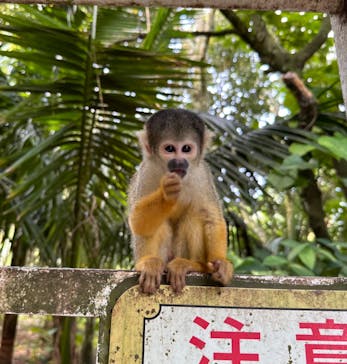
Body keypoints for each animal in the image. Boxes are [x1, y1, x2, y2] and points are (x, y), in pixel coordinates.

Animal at [128, 108, 234, 292]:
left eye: (186, 148)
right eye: (170, 149)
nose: (179, 162)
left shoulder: (202, 174)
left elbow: (212, 218)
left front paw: (222, 264)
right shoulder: (146, 170)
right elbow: (137, 222)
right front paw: (166, 193)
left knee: (194, 216)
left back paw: (193, 265)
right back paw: (148, 263)